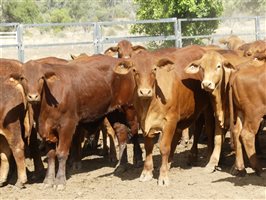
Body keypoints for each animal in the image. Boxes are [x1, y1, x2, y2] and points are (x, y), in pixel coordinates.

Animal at [112, 45, 214, 184]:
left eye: (154, 69)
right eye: (134, 70)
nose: (145, 92)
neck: (150, 103)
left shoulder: (170, 120)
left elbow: (164, 147)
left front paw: (163, 176)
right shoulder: (144, 123)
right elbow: (148, 147)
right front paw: (146, 172)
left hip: (207, 107)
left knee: (207, 128)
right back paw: (176, 160)